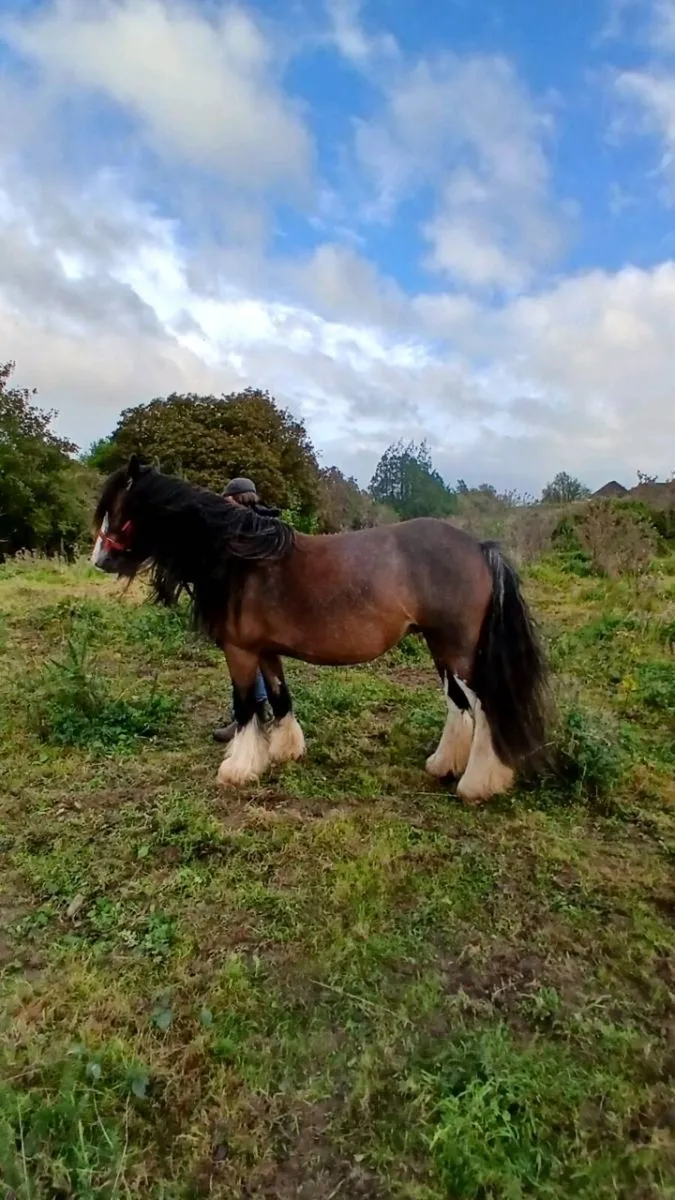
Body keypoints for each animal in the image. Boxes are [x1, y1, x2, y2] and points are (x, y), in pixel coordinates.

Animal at [91, 456, 549, 802]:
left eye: (118, 509)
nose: (99, 559)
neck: (241, 558)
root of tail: (479, 547)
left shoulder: (240, 652)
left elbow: (246, 706)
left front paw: (238, 768)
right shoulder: (266, 651)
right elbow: (279, 698)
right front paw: (285, 751)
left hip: (459, 650)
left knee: (484, 708)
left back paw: (478, 784)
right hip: (441, 648)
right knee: (458, 704)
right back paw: (443, 766)